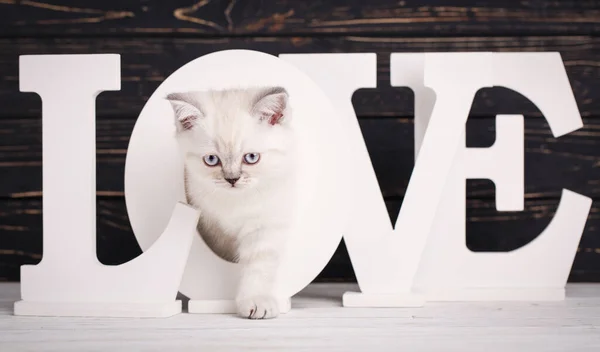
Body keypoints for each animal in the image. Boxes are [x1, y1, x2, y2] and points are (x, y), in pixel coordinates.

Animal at [165, 86, 296, 320]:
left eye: (251, 157)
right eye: (211, 160)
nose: (232, 179)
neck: (236, 201)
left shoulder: (264, 225)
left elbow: (258, 265)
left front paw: (257, 301)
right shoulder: (210, 229)